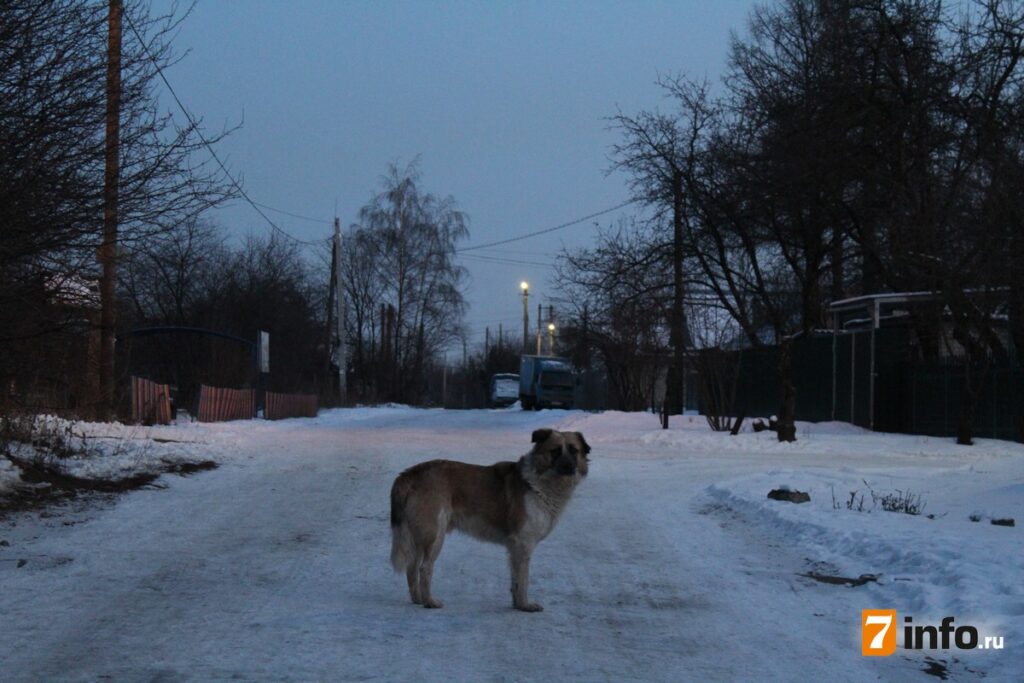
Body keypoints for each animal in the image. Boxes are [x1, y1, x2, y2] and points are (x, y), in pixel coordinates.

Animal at [387, 428, 589, 614]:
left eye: (574, 450)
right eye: (555, 451)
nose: (569, 466)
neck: (539, 482)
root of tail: (410, 473)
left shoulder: (515, 548)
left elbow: (515, 579)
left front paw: (517, 604)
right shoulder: (523, 543)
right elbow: (523, 579)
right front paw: (525, 605)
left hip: (419, 537)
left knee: (411, 568)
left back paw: (418, 599)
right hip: (434, 536)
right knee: (424, 569)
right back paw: (430, 601)